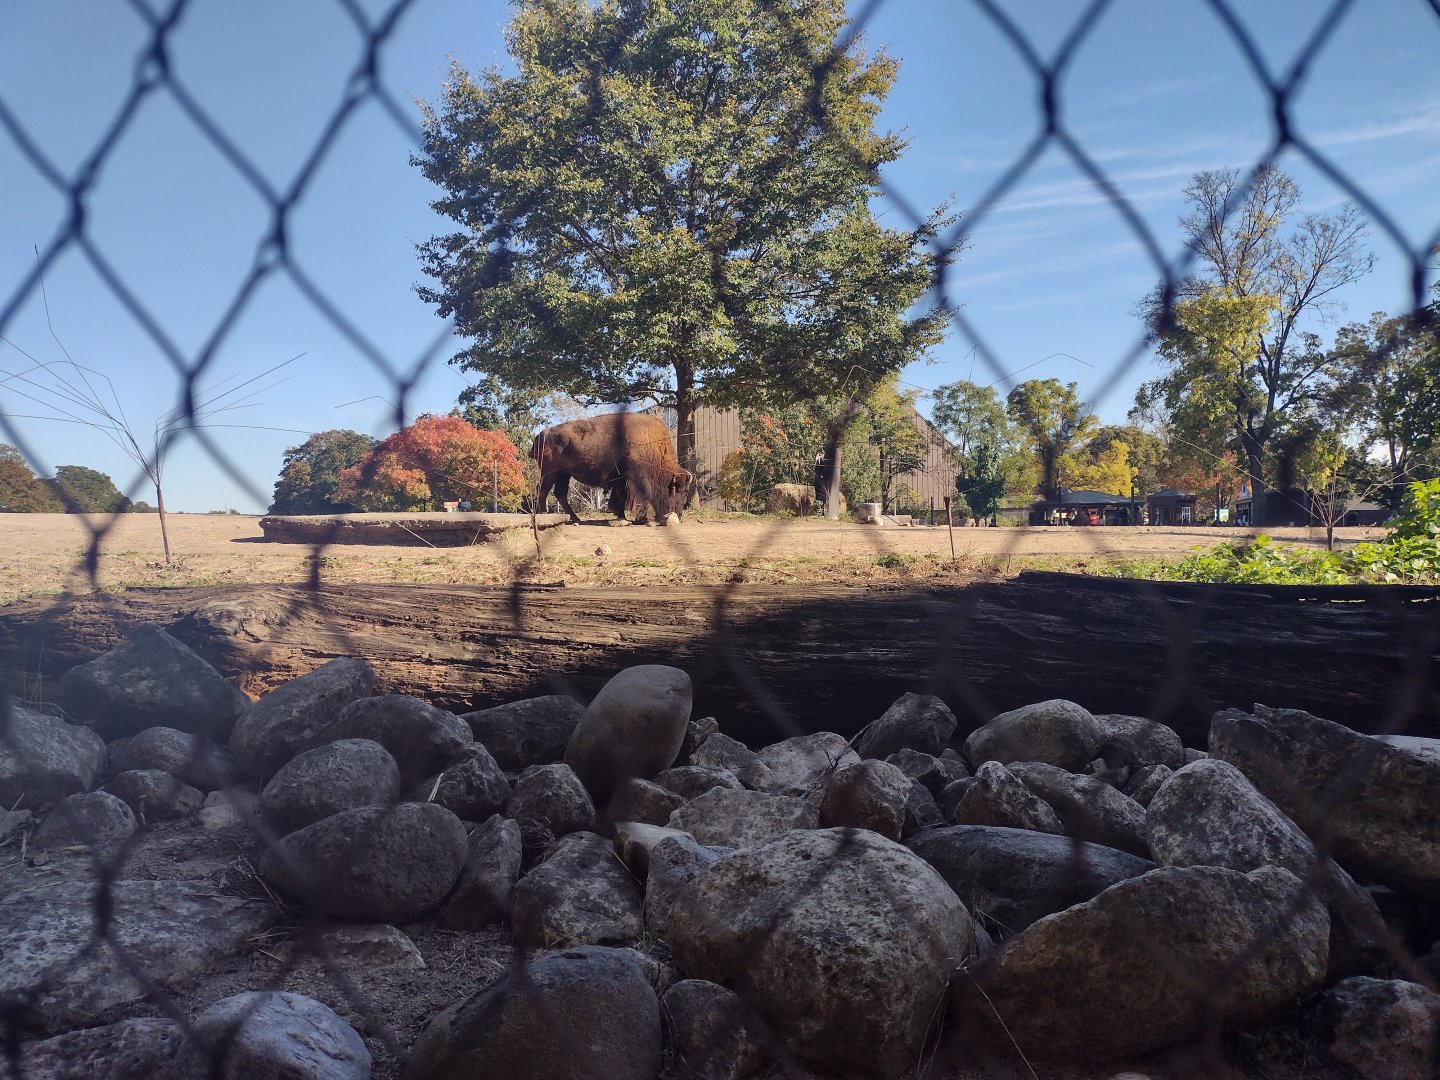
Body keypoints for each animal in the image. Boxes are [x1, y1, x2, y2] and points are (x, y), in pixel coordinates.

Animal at [529, 412, 690, 525]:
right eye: (680, 491)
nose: (679, 514)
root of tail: (540, 435)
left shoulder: (621, 480)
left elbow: (619, 498)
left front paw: (622, 516)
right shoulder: (635, 480)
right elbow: (635, 499)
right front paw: (641, 519)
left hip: (563, 474)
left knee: (559, 494)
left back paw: (575, 519)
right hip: (549, 474)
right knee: (542, 492)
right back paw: (545, 515)